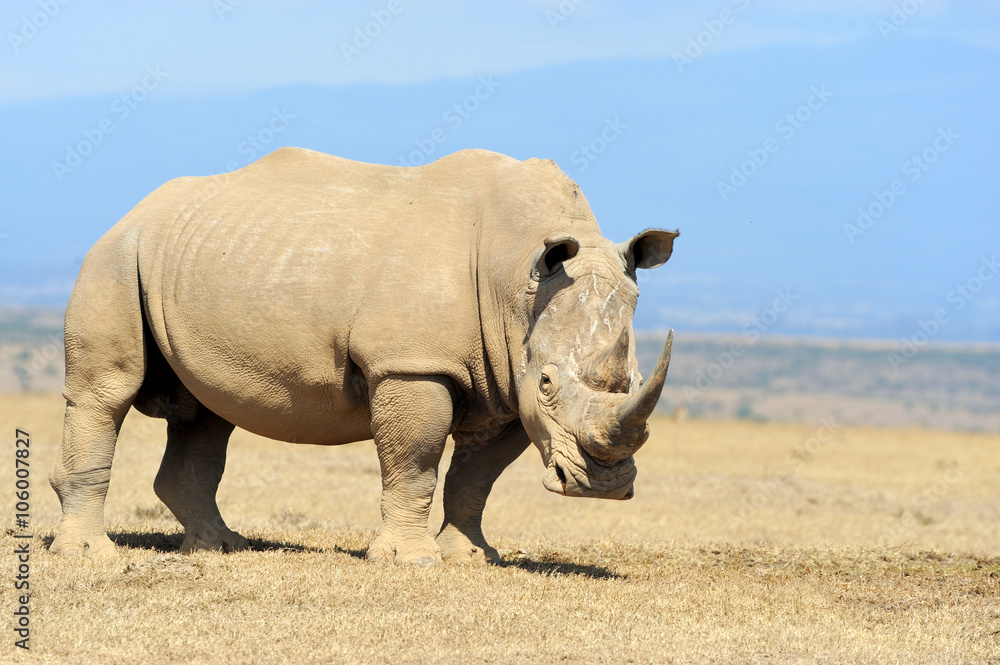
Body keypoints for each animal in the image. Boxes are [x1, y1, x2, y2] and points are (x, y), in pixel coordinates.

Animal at [50, 147, 678, 565]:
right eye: (548, 383)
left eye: (635, 379)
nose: (602, 485)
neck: (518, 276)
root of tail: (135, 209)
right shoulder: (414, 363)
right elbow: (416, 460)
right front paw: (410, 562)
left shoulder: (504, 379)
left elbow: (477, 476)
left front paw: (470, 557)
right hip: (115, 255)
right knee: (107, 392)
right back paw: (87, 555)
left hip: (183, 260)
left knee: (206, 412)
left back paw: (219, 548)